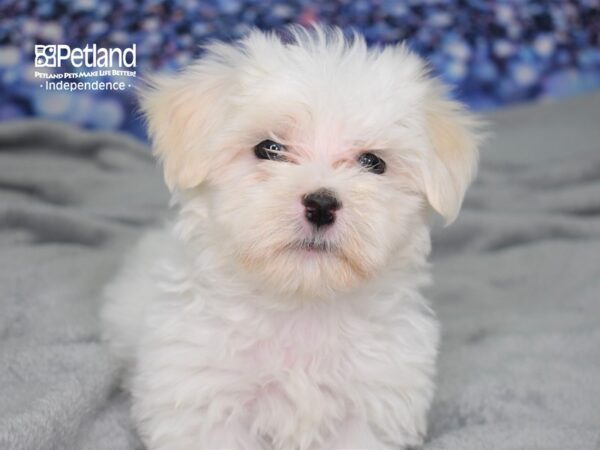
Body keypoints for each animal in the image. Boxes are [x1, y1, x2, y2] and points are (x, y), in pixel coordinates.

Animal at [101, 25, 480, 450]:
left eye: (372, 162)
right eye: (269, 148)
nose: (321, 205)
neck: (301, 306)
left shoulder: (372, 402)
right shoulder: (204, 395)